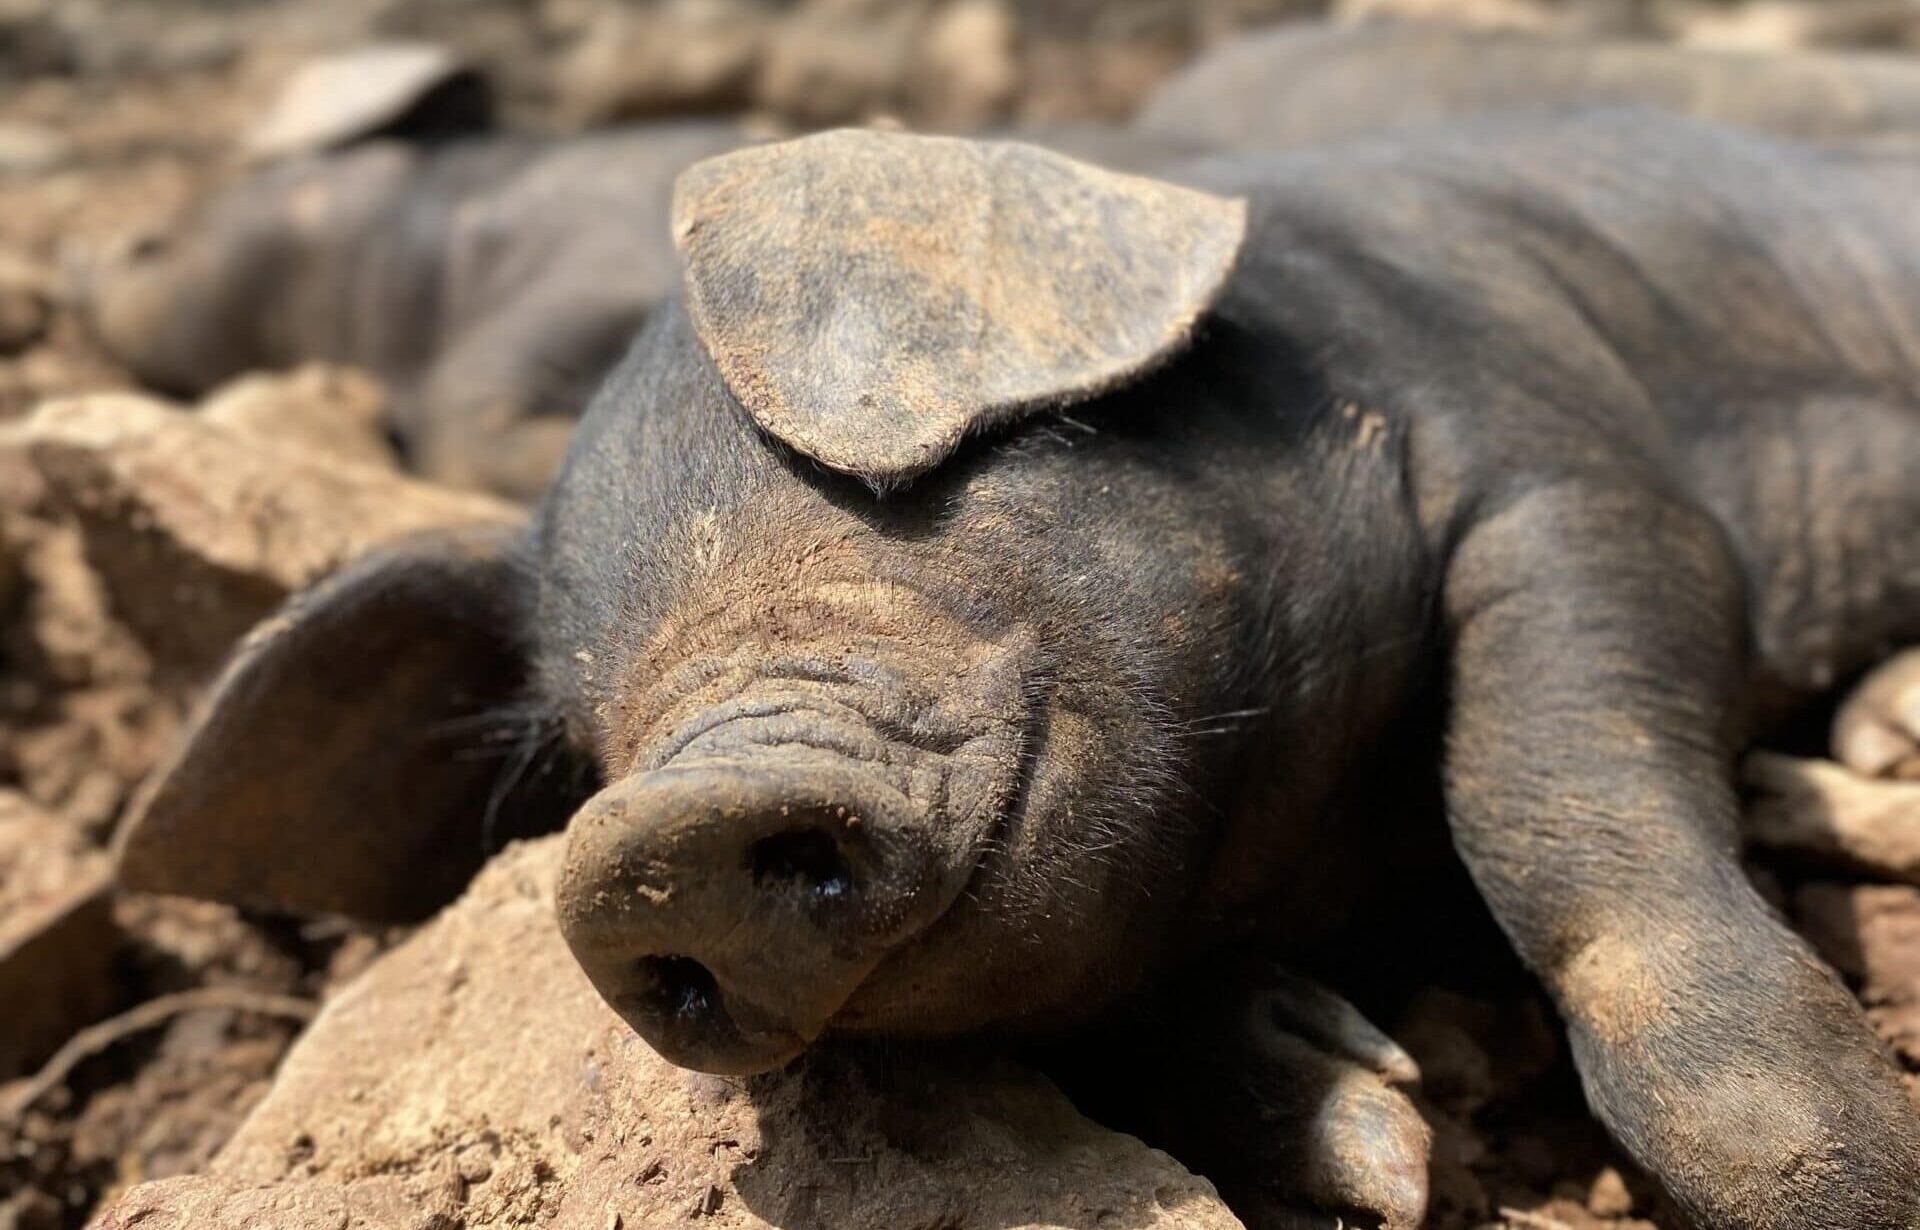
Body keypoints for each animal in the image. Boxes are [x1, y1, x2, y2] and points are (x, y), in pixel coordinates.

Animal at [116, 116, 1920, 1228]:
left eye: (926, 472)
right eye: (578, 724)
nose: (650, 842)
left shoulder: (1564, 471)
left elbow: (1553, 799)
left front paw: (1848, 1179)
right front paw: (1377, 1147)